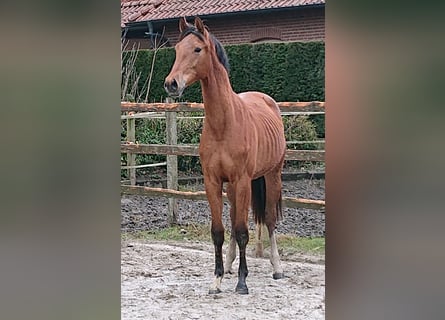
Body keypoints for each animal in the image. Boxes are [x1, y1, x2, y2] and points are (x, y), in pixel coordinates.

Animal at [163, 16, 284, 294]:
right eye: (176, 50)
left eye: (197, 49)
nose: (171, 84)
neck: (224, 124)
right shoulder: (213, 181)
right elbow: (219, 230)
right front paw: (217, 279)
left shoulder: (242, 180)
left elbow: (242, 231)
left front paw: (242, 282)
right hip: (233, 187)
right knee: (233, 218)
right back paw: (229, 265)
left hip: (272, 175)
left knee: (269, 220)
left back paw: (277, 268)